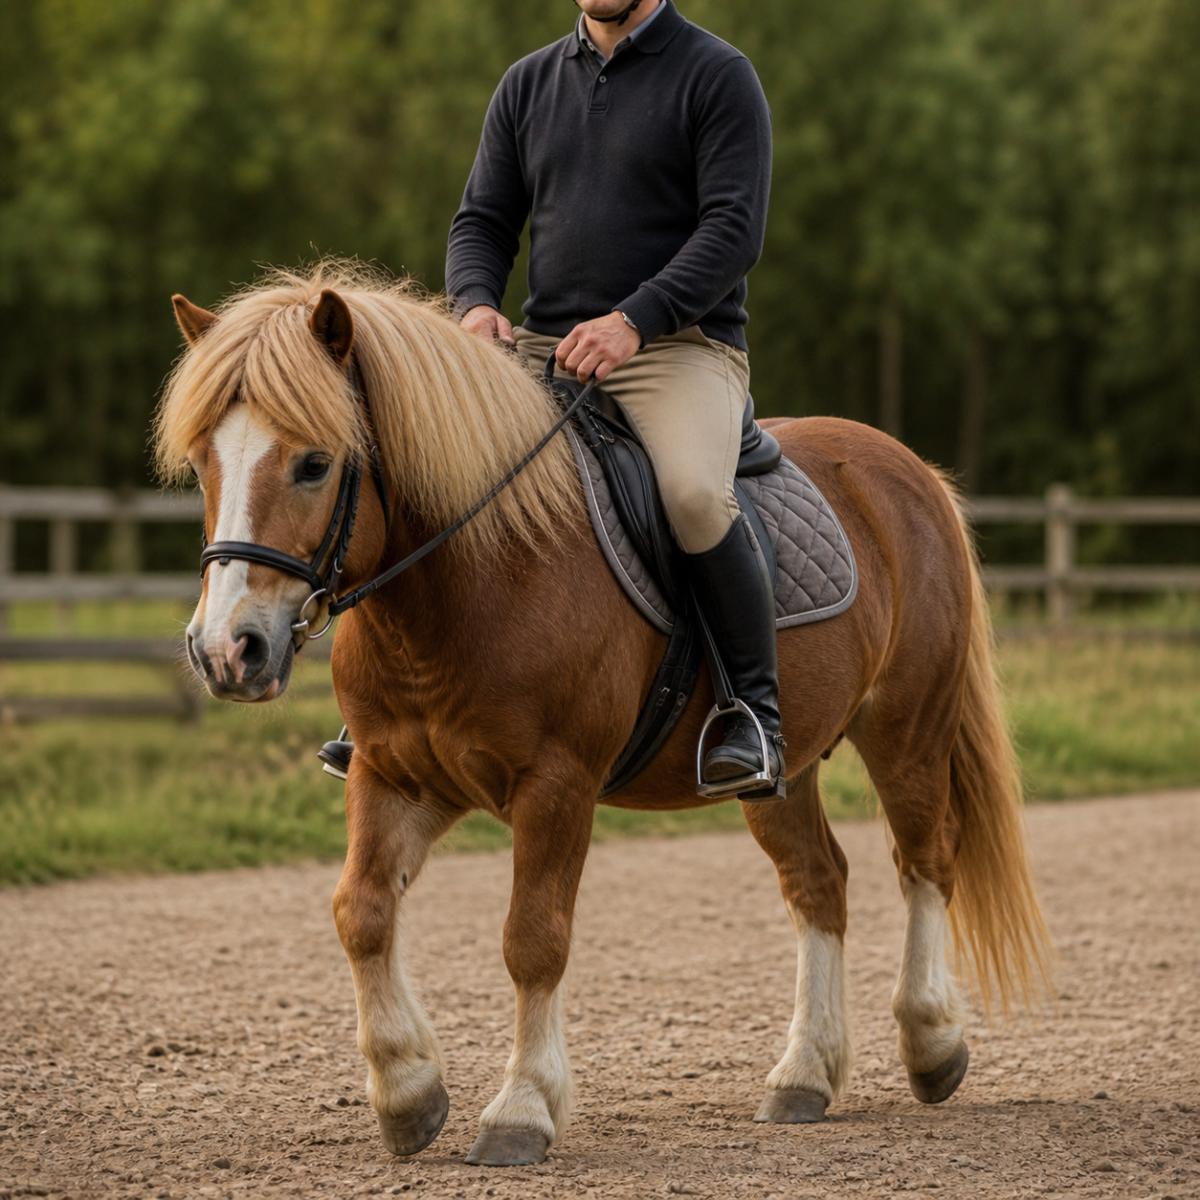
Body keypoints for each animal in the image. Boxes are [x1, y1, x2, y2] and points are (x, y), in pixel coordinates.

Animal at [156, 261, 1049, 1168]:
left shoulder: (556, 786)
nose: (228, 650)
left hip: (908, 731)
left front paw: (521, 1109)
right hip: (783, 769)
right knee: (819, 884)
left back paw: (932, 1044)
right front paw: (408, 1093)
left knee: (925, 861)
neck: (471, 579)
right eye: (203, 461)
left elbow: (533, 938)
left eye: (312, 463)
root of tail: (904, 469)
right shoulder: (397, 776)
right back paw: (805, 1074)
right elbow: (361, 913)